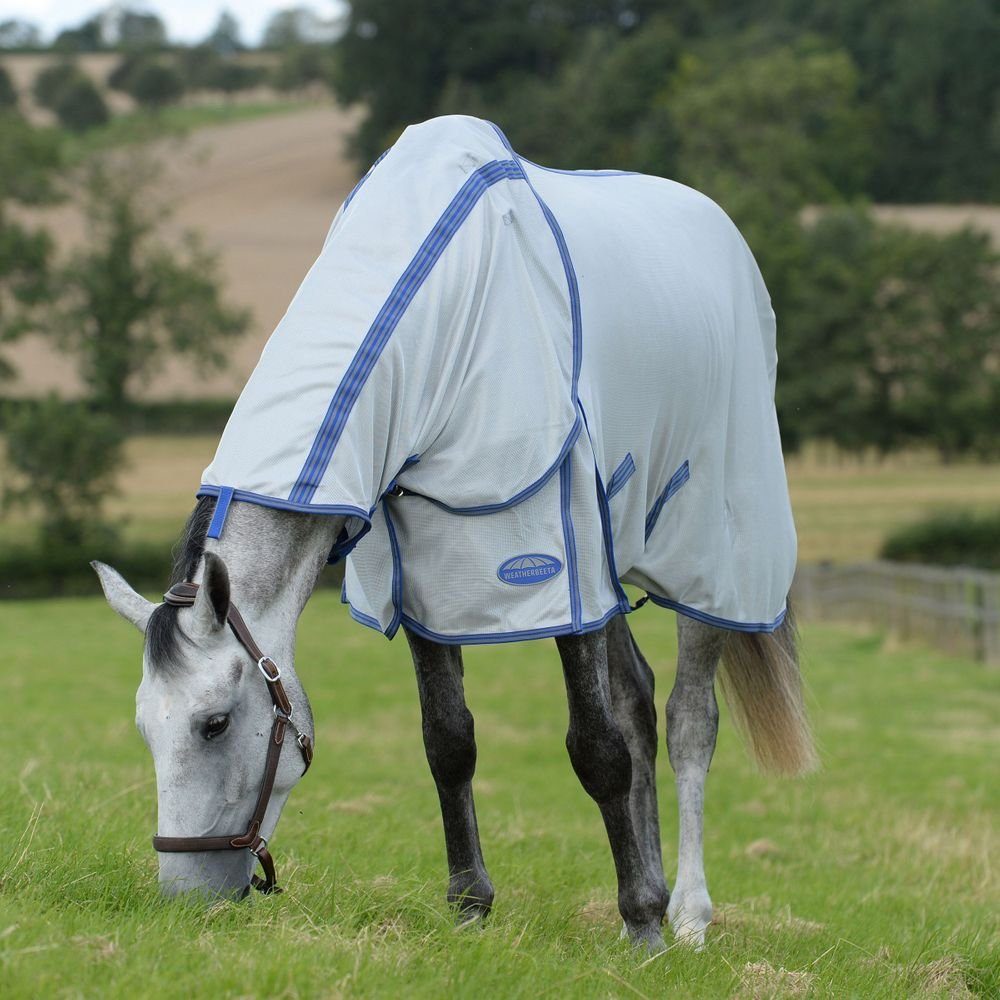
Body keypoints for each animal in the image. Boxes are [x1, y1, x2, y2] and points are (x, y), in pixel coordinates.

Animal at [94, 115, 815, 953]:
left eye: (213, 724)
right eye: (145, 728)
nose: (185, 898)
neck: (440, 313)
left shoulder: (557, 560)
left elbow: (596, 747)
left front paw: (643, 923)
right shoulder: (424, 577)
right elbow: (450, 740)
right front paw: (472, 907)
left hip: (711, 560)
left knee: (687, 721)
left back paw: (688, 915)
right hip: (606, 564)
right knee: (637, 703)